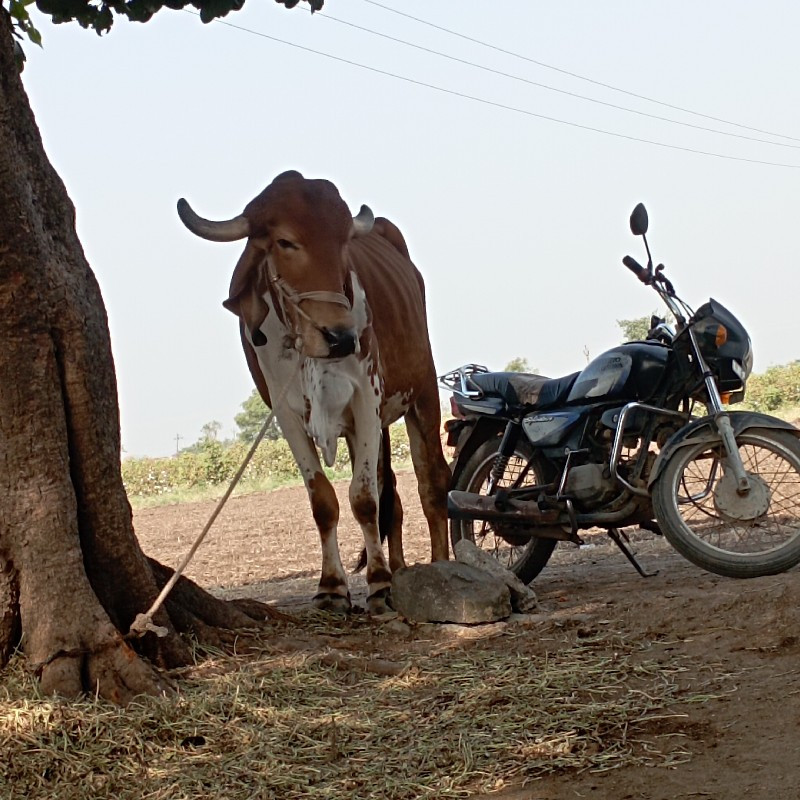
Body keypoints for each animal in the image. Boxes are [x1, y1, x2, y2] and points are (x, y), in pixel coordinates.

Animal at [178, 172, 450, 616]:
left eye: (343, 243)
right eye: (285, 242)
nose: (341, 336)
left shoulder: (366, 398)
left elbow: (364, 498)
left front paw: (378, 583)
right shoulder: (286, 414)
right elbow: (325, 501)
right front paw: (333, 588)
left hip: (423, 393)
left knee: (431, 483)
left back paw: (440, 566)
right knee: (390, 492)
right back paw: (400, 569)